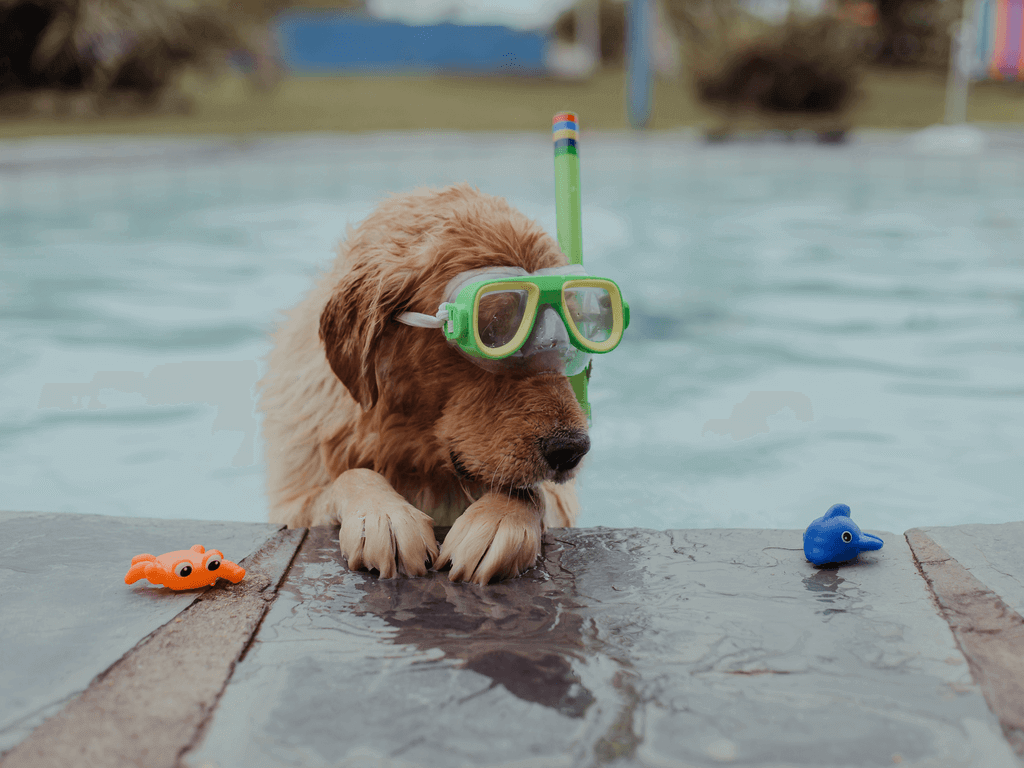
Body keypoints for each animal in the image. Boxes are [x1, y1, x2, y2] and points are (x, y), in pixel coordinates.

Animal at [260, 183, 589, 585]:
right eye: (493, 327)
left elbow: (532, 491)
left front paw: (499, 519)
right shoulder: (296, 505)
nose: (572, 449)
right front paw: (384, 515)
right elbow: (351, 475)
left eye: (570, 330)